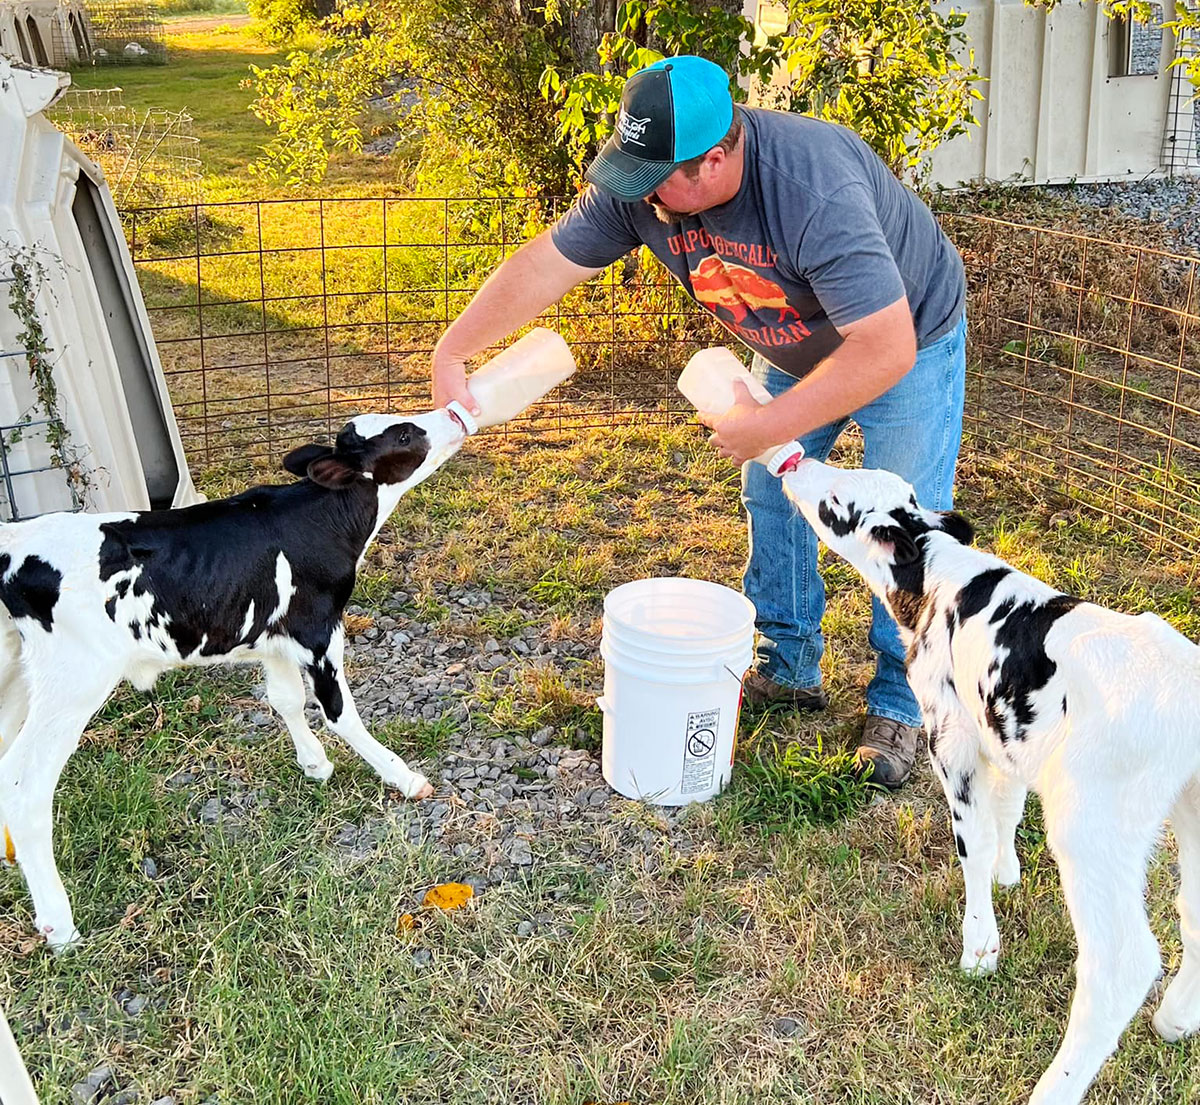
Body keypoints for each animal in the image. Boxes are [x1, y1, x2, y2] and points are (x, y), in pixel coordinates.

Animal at [0, 410, 463, 955]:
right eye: (406, 434)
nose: (454, 414)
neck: (321, 519)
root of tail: (14, 544)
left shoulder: (274, 633)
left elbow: (285, 699)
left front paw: (315, 765)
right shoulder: (318, 629)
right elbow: (338, 712)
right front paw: (404, 777)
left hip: (13, 675)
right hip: (72, 679)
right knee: (25, 784)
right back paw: (59, 923)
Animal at [782, 455, 1200, 1103]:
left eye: (834, 502)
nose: (796, 463)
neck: (941, 579)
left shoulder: (948, 729)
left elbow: (971, 842)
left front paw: (980, 944)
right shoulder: (1003, 727)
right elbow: (1007, 807)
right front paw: (1009, 872)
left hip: (1093, 827)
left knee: (1121, 962)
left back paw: (1054, 1088)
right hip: (1189, 810)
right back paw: (1177, 1019)